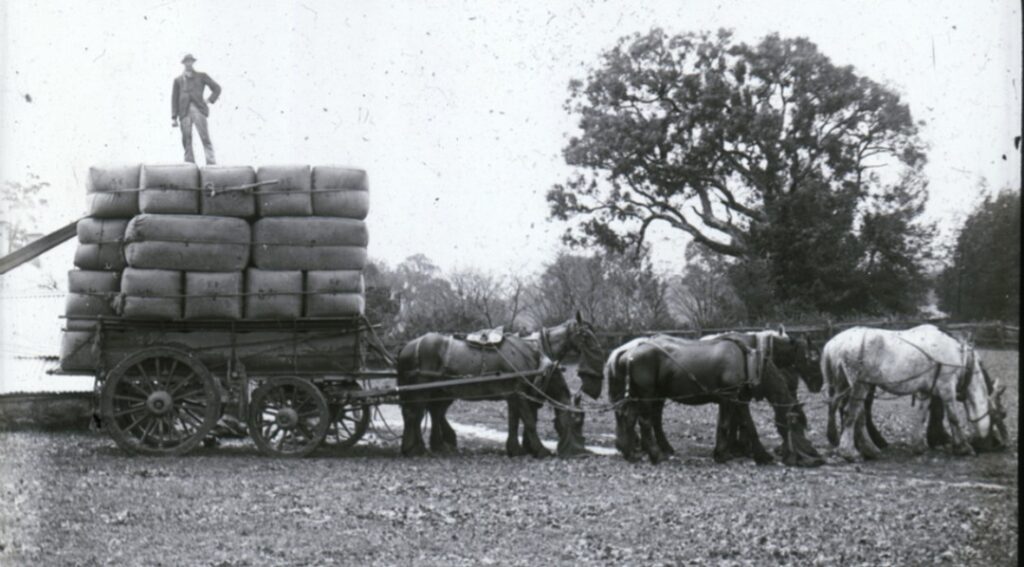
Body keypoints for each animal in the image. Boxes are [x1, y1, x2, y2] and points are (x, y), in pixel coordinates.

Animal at [393, 311, 602, 456]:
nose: (581, 451)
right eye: (586, 335)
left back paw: (432, 445)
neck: (535, 350)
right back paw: (415, 448)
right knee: (415, 414)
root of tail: (408, 346)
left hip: (439, 390)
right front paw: (539, 449)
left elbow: (514, 421)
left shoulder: (515, 394)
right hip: (422, 390)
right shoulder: (520, 393)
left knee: (428, 413)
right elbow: (529, 421)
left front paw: (516, 448)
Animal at [606, 333, 823, 464]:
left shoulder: (735, 398)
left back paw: (630, 451)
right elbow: (742, 425)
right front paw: (749, 454)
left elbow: (731, 424)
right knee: (645, 421)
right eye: (796, 424)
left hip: (640, 395)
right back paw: (655, 454)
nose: (816, 458)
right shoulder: (733, 397)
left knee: (627, 416)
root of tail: (629, 352)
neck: (749, 359)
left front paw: (727, 451)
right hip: (647, 395)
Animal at [823, 321, 1007, 458]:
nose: (999, 445)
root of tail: (833, 344)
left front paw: (918, 445)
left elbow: (921, 415)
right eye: (1000, 415)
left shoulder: (926, 391)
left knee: (848, 411)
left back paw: (865, 448)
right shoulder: (947, 387)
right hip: (860, 385)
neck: (961, 359)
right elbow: (953, 417)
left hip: (846, 385)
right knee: (852, 413)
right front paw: (963, 447)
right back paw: (849, 452)